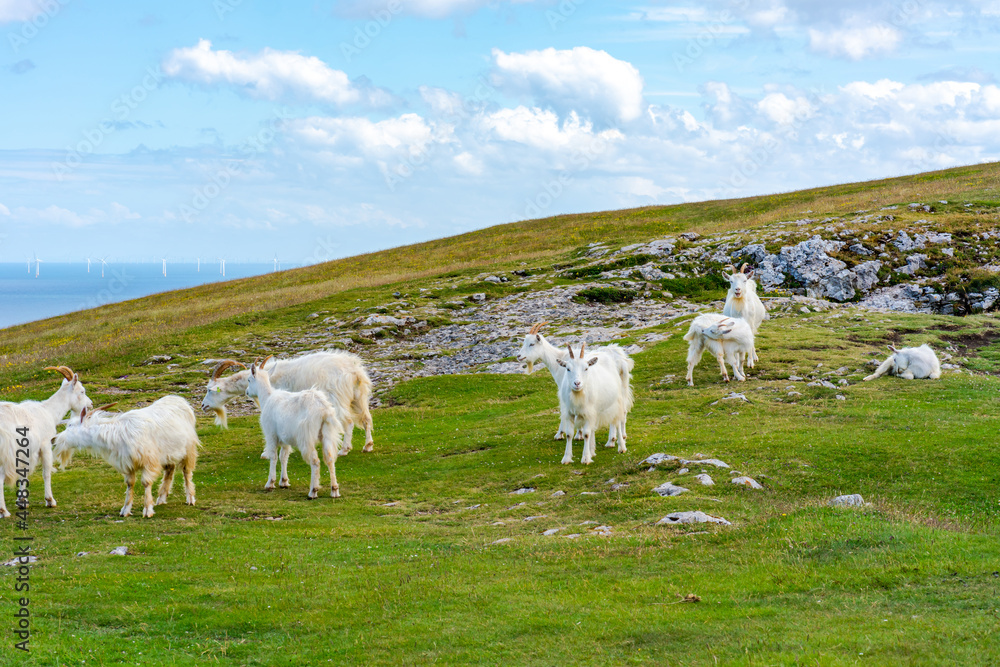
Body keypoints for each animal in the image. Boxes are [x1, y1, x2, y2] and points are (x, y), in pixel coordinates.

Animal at [0, 366, 92, 518]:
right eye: (82, 391)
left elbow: (23, 473)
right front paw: (50, 500)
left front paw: (22, 501)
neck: (48, 411)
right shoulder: (45, 445)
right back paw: (4, 511)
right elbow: (46, 472)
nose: (90, 404)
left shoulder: (26, 451)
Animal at [52, 396, 199, 518]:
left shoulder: (148, 461)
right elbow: (130, 484)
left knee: (186, 471)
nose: (53, 439)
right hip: (169, 453)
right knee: (170, 470)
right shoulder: (128, 464)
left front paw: (147, 510)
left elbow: (146, 483)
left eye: (70, 425)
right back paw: (162, 498)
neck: (117, 434)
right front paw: (125, 510)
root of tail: (181, 400)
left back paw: (190, 498)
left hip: (189, 449)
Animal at [202, 351, 374, 455]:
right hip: (359, 397)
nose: (203, 406)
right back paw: (368, 445)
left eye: (209, 390)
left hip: (337, 398)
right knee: (366, 418)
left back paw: (344, 449)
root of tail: (354, 372)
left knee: (349, 422)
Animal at [246, 361, 344, 499]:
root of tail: (324, 410)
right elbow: (283, 456)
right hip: (328, 433)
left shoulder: (271, 434)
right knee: (330, 458)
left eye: (249, 379)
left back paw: (313, 491)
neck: (267, 398)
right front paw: (284, 481)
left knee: (315, 461)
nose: (247, 392)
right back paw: (334, 490)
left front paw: (270, 483)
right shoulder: (284, 437)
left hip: (307, 437)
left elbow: (273, 456)